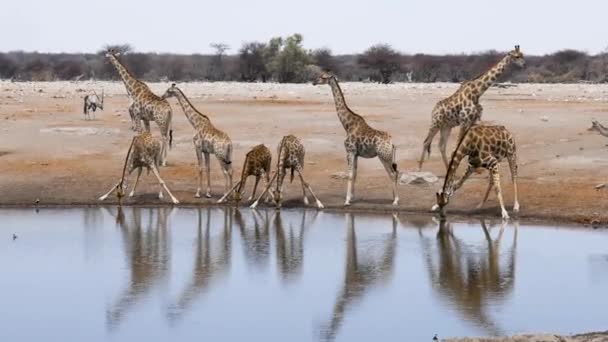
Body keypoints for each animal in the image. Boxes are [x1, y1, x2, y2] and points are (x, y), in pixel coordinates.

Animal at [314, 70, 400, 206]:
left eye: (323, 77)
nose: (313, 82)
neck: (347, 125)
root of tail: (392, 143)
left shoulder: (349, 151)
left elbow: (349, 174)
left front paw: (346, 200)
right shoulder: (356, 153)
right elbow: (354, 174)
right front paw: (352, 198)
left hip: (383, 156)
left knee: (392, 173)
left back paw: (396, 200)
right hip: (388, 156)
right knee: (395, 172)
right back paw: (393, 197)